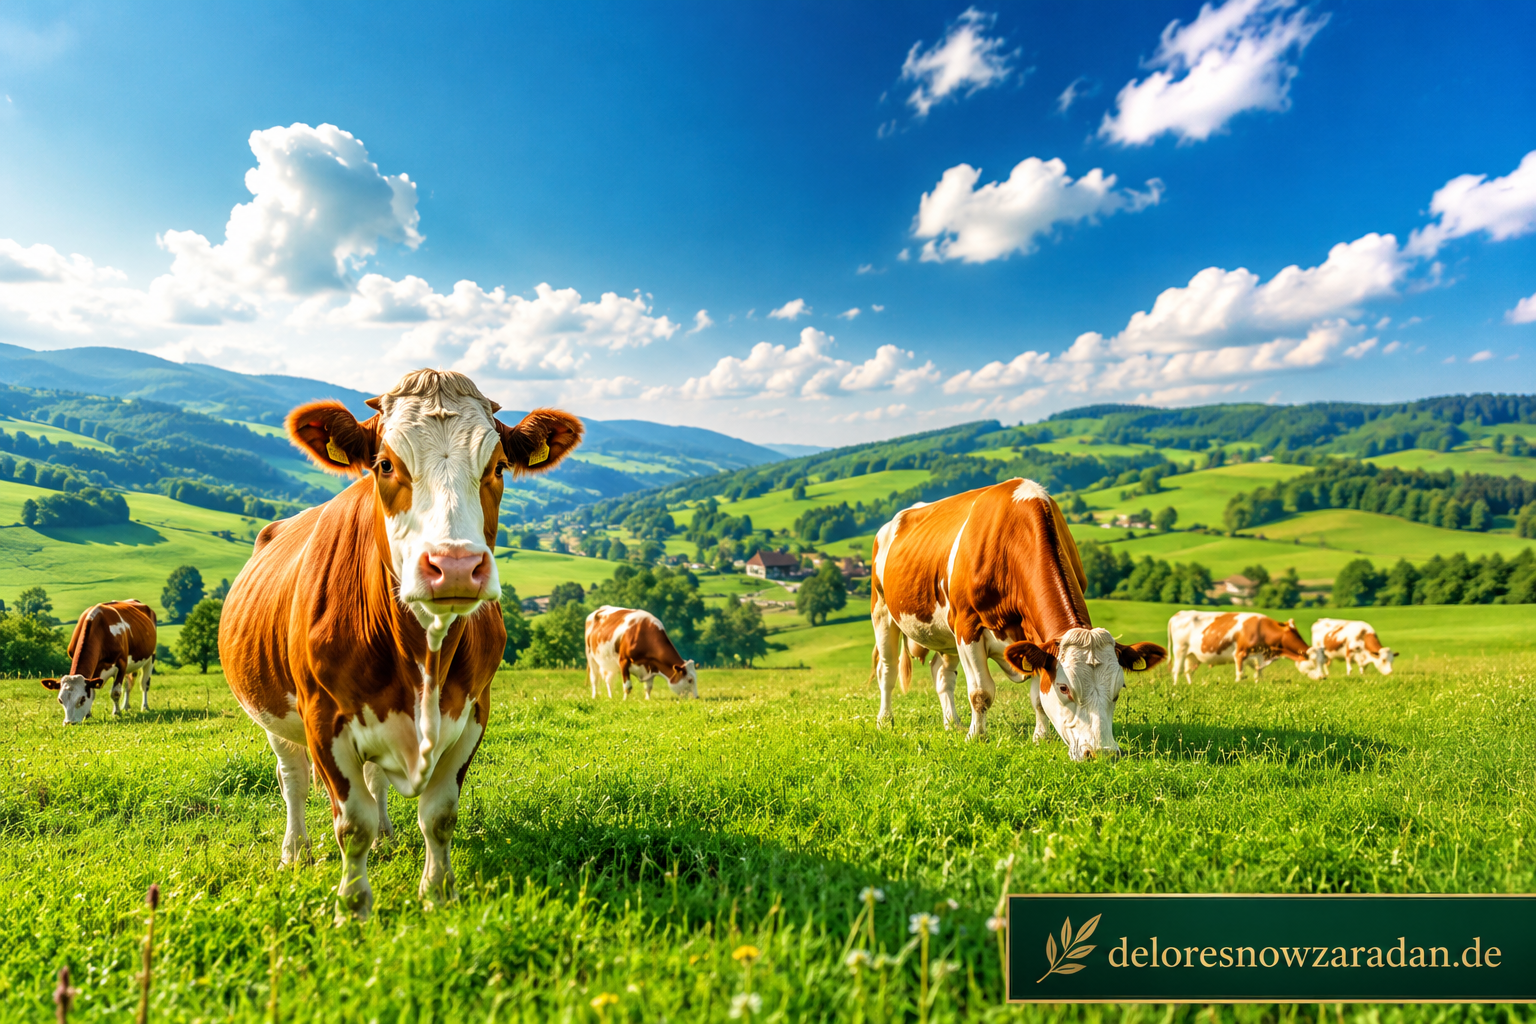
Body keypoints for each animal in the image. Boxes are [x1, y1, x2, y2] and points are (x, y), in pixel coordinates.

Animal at [220, 369, 582, 920]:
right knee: (292, 780)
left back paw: (387, 836)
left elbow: (438, 815)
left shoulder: (474, 712)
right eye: (386, 464)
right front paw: (353, 906)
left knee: (374, 783)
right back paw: (295, 852)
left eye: (498, 466)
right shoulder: (322, 718)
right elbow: (352, 823)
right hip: (272, 713)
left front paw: (438, 892)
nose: (454, 566)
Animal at [869, 478, 1166, 759]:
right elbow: (980, 692)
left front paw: (1041, 737)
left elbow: (1037, 697)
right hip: (882, 610)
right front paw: (977, 737)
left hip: (944, 631)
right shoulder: (967, 626)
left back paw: (952, 723)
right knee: (887, 670)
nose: (1101, 753)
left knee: (942, 673)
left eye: (1119, 689)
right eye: (1064, 688)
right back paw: (885, 720)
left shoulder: (1034, 639)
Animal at [1167, 610, 1328, 685]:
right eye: (1313, 662)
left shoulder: (1257, 656)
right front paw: (1238, 684)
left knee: (1188, 671)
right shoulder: (1240, 653)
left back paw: (1190, 685)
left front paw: (1258, 683)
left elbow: (1258, 673)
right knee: (1176, 670)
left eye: (1323, 661)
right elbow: (1240, 673)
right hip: (1180, 649)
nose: (1323, 677)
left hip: (1192, 655)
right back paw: (1176, 685)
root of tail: (1179, 613)